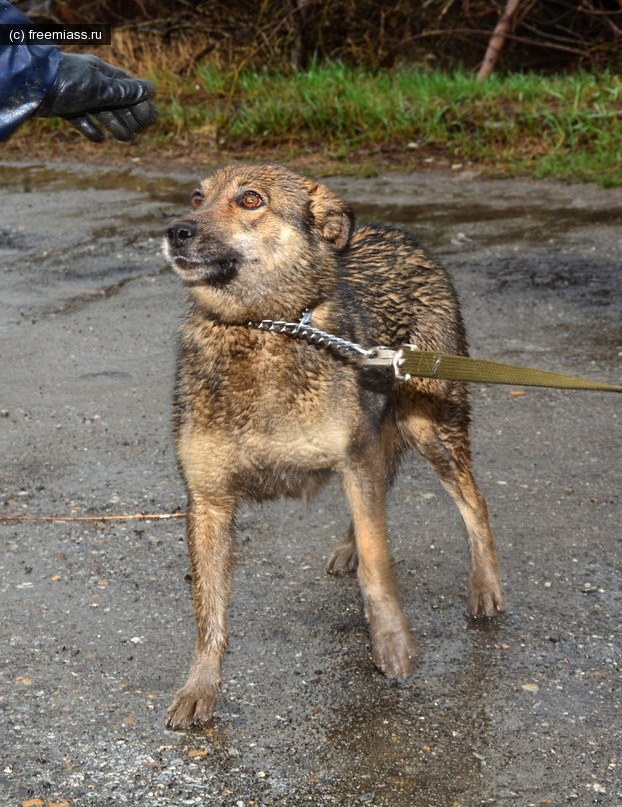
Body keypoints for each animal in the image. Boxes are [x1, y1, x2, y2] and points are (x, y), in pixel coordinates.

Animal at [162, 164, 508, 732]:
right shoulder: (209, 501)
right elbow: (208, 610)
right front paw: (200, 687)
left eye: (250, 200)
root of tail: (403, 236)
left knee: (473, 504)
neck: (263, 327)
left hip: (430, 429)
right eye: (196, 197)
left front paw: (392, 645)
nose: (176, 231)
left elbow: (379, 563)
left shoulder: (354, 459)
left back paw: (485, 586)